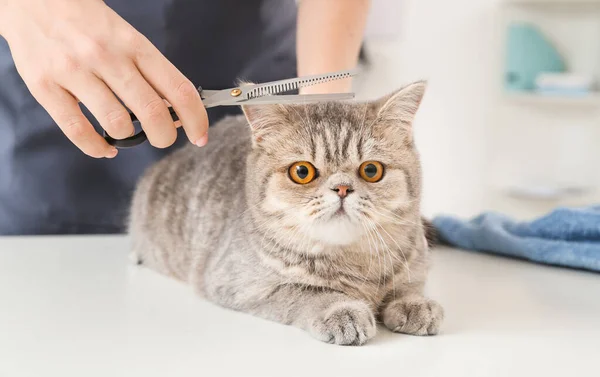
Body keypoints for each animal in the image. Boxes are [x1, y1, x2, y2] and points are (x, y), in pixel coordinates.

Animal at [127, 81, 446, 344]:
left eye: (371, 170)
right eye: (302, 172)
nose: (342, 188)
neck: (353, 266)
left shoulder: (415, 262)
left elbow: (407, 285)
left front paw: (415, 303)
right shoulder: (238, 284)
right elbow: (306, 292)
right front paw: (341, 308)